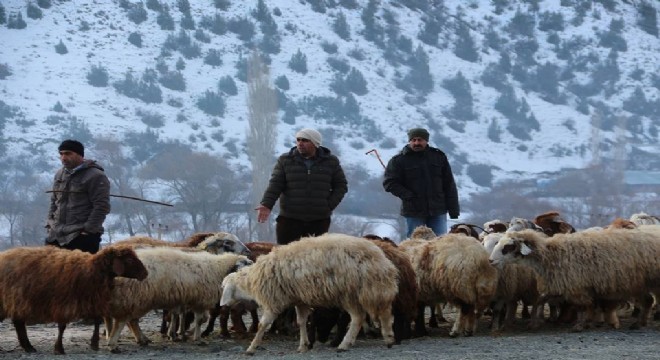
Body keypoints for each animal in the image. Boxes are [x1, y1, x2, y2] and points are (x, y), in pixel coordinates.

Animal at [0, 245, 148, 354]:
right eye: (129, 260)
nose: (145, 273)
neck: (91, 270)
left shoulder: (92, 300)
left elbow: (96, 321)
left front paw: (94, 344)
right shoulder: (64, 303)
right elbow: (62, 326)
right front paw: (59, 348)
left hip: (16, 301)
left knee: (19, 323)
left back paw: (28, 347)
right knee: (19, 323)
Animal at [104, 248, 251, 352]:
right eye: (244, 264)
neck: (218, 269)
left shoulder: (187, 300)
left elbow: (183, 316)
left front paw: (179, 335)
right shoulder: (200, 300)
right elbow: (200, 320)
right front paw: (198, 338)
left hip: (138, 300)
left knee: (132, 321)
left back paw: (141, 339)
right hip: (135, 298)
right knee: (125, 321)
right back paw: (114, 344)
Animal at [219, 233, 400, 354]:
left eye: (224, 287)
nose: (222, 305)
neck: (252, 280)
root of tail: (381, 260)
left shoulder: (274, 301)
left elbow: (263, 325)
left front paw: (251, 347)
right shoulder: (299, 300)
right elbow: (301, 322)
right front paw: (303, 345)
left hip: (352, 292)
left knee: (359, 317)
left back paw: (347, 343)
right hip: (370, 291)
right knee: (383, 311)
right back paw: (388, 338)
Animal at [488, 229, 660, 330]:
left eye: (508, 247)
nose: (490, 261)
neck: (551, 255)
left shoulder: (577, 286)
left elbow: (582, 307)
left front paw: (580, 325)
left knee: (649, 301)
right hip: (639, 283)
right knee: (648, 301)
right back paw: (639, 323)